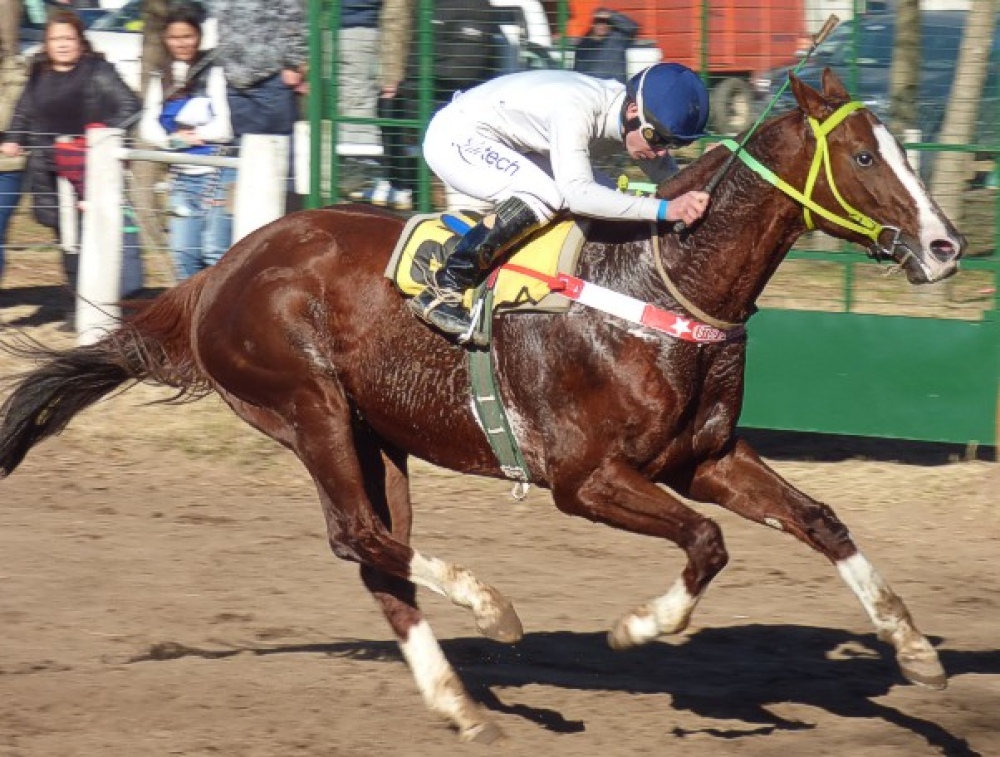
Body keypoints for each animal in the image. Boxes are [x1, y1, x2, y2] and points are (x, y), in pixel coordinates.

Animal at [0, 71, 960, 740]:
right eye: (865, 157)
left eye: (901, 151)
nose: (946, 245)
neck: (658, 283)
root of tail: (217, 272)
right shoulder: (584, 477)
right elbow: (707, 542)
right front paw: (638, 627)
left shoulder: (705, 456)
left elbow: (820, 519)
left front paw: (915, 649)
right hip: (307, 407)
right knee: (360, 535)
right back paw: (492, 609)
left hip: (377, 432)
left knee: (380, 560)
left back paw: (461, 704)